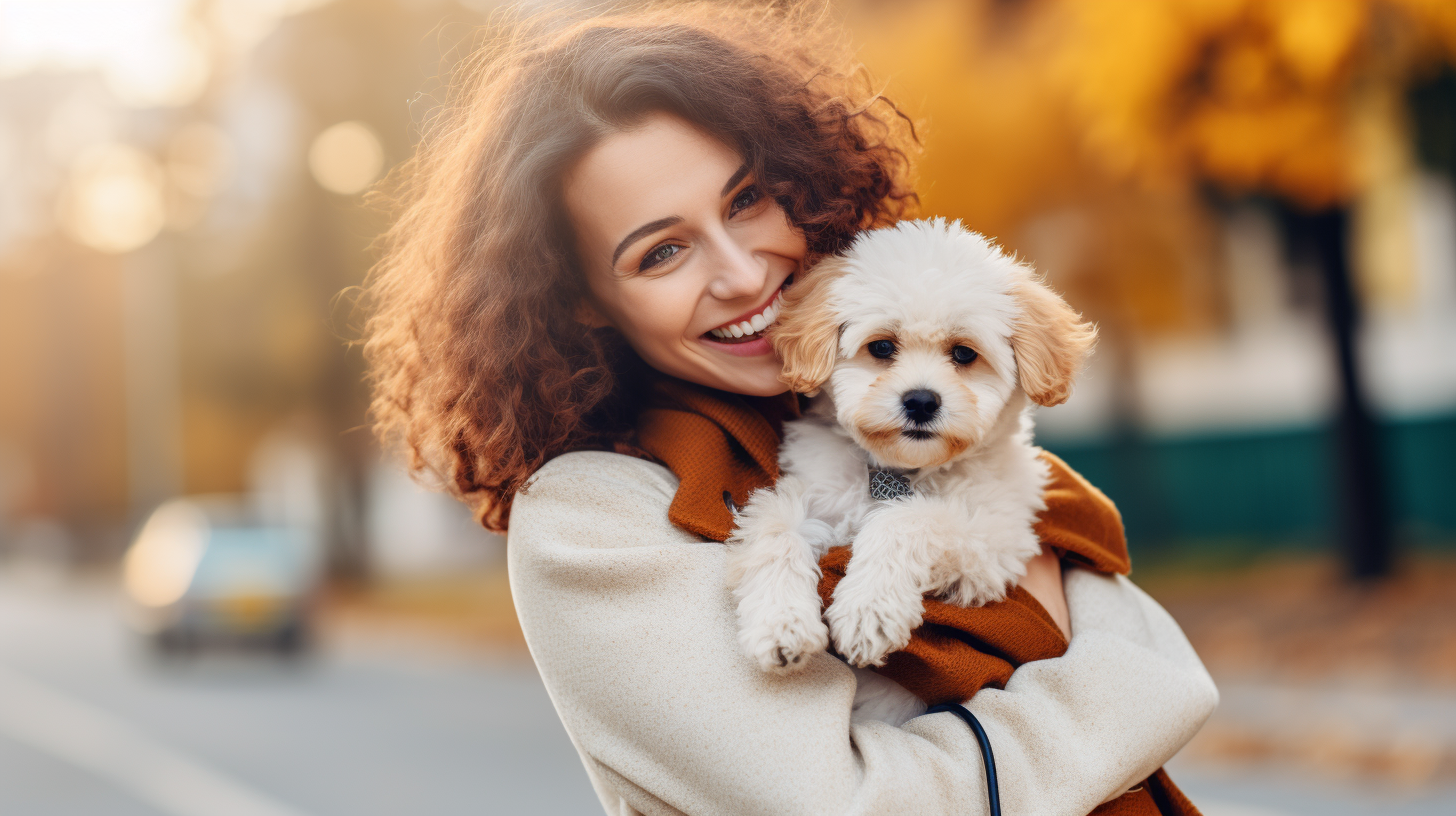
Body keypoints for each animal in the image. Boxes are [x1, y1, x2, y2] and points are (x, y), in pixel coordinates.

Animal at [728, 218, 1094, 687]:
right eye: (882, 347)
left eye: (964, 353)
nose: (921, 401)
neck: (899, 469)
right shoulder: (811, 494)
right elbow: (776, 527)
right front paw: (780, 623)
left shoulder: (992, 541)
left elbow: (907, 519)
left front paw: (868, 610)